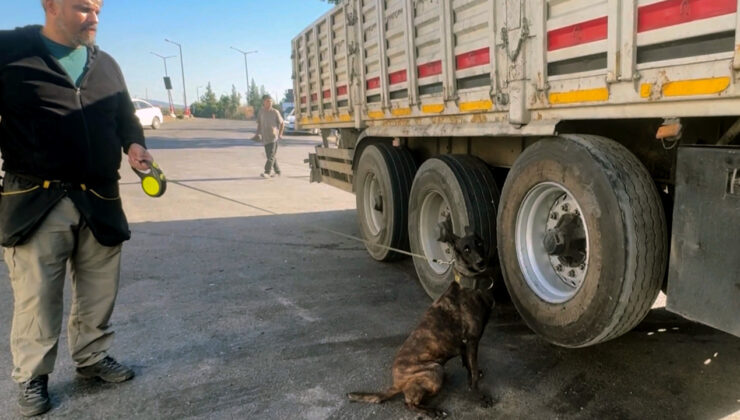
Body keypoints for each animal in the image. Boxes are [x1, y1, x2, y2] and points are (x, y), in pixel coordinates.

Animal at [346, 218, 498, 418]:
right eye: (466, 249)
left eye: (479, 244)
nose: (481, 262)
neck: (469, 283)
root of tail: (397, 383)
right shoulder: (472, 341)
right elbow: (472, 373)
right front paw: (479, 396)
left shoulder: (466, 345)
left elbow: (468, 366)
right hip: (434, 370)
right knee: (409, 402)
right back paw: (433, 411)